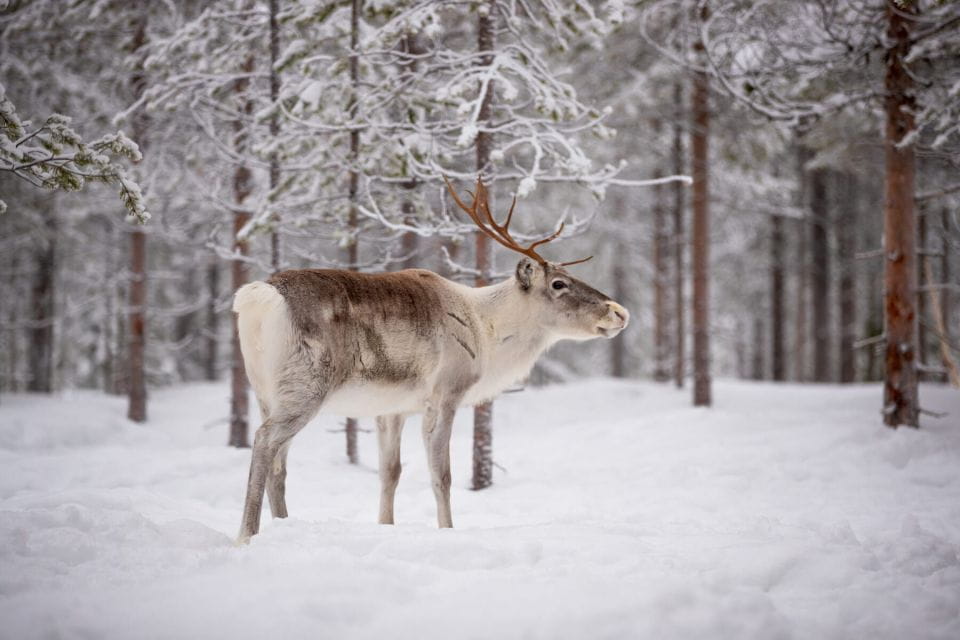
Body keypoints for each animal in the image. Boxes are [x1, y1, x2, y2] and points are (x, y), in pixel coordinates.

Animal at [232, 177, 629, 543]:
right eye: (559, 284)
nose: (619, 312)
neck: (486, 331)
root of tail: (256, 299)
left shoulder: (391, 409)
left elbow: (390, 472)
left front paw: (386, 525)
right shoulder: (447, 392)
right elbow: (442, 475)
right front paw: (448, 529)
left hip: (265, 391)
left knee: (279, 464)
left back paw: (282, 526)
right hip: (306, 385)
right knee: (264, 441)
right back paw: (246, 535)